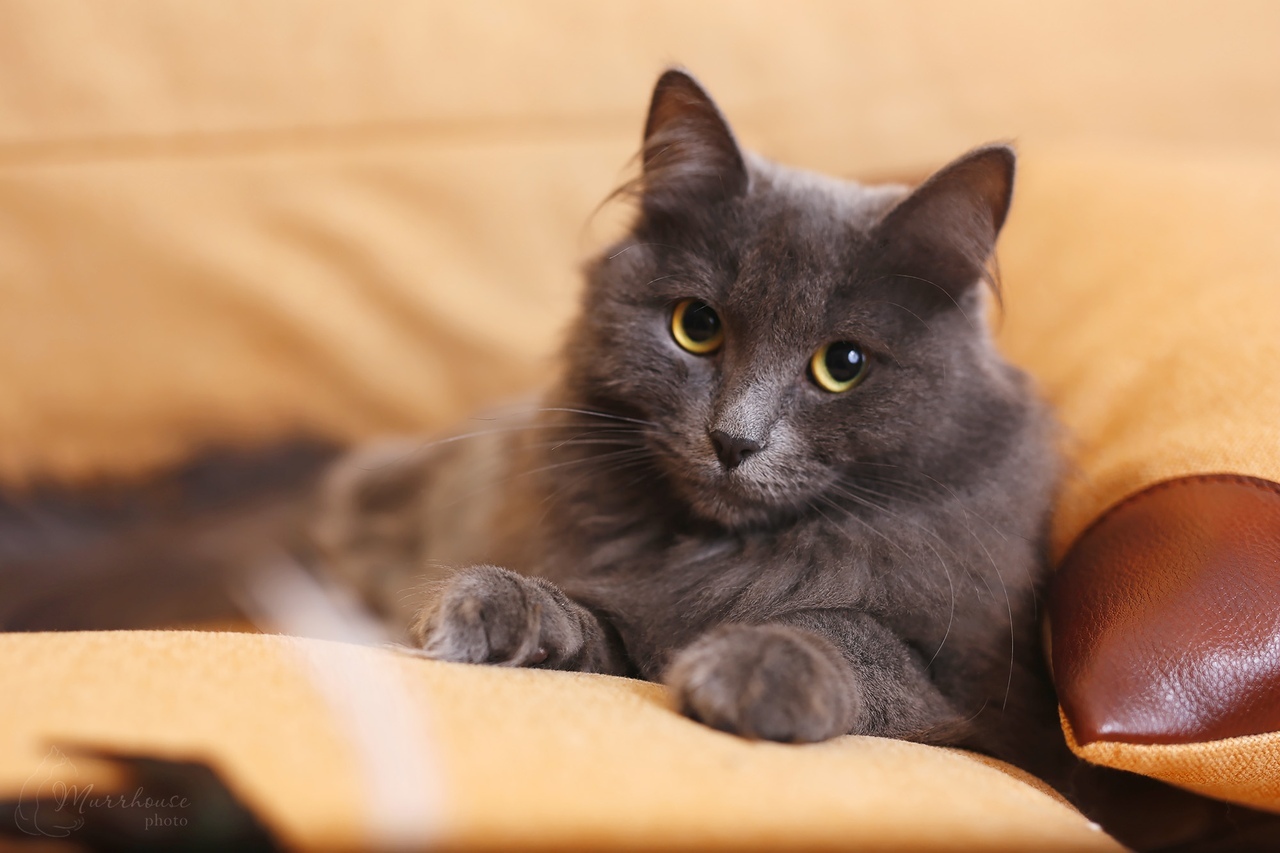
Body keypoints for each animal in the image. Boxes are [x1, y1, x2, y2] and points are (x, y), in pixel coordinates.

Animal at [309, 69, 1059, 773]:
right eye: (696, 325)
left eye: (843, 363)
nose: (733, 439)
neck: (724, 552)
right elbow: (586, 616)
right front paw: (499, 608)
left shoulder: (985, 704)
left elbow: (852, 629)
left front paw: (761, 662)